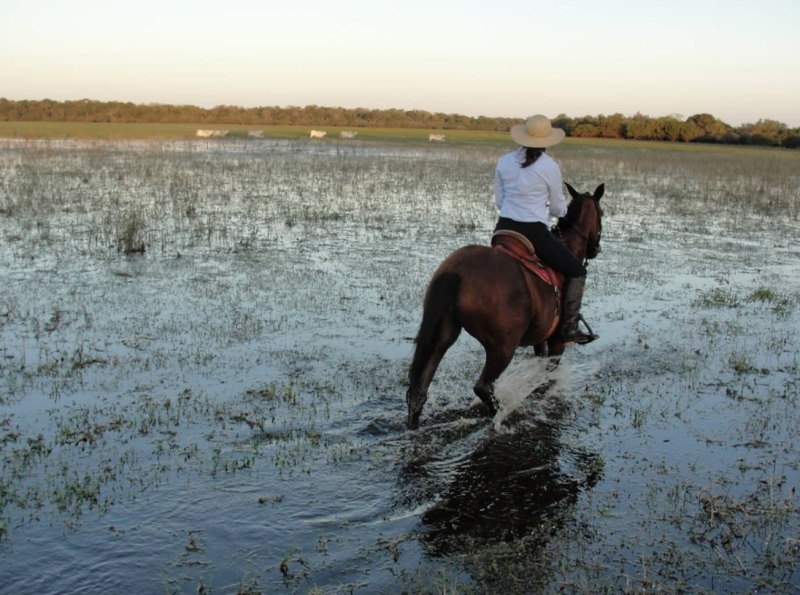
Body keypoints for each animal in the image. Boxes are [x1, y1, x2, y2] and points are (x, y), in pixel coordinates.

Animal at [410, 182, 604, 428]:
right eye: (602, 213)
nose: (595, 249)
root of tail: (457, 270)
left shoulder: (540, 338)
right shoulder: (557, 341)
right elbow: (547, 375)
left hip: (443, 334)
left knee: (419, 389)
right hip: (503, 347)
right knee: (482, 387)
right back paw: (505, 413)